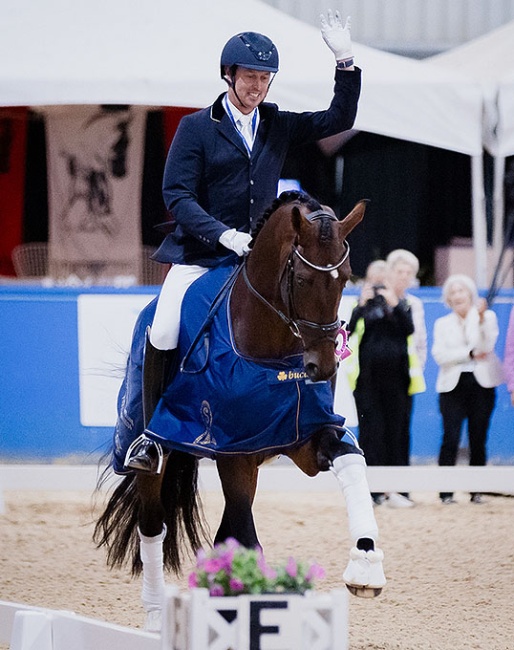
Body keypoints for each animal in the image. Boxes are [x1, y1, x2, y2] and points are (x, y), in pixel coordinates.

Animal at [94, 190, 384, 632]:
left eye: (346, 277)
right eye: (302, 279)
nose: (323, 368)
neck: (272, 349)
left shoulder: (303, 435)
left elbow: (348, 459)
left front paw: (365, 563)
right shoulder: (234, 452)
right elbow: (248, 539)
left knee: (224, 532)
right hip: (152, 450)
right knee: (153, 524)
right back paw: (158, 615)